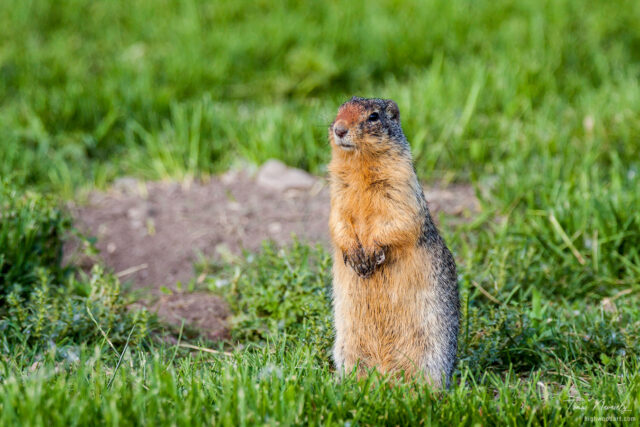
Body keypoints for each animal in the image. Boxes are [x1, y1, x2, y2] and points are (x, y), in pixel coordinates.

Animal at [328, 96, 459, 388]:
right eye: (338, 110)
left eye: (374, 117)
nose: (339, 129)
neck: (360, 165)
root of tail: (385, 376)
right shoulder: (337, 193)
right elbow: (337, 221)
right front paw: (355, 254)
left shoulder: (400, 184)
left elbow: (398, 219)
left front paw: (372, 253)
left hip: (430, 353)